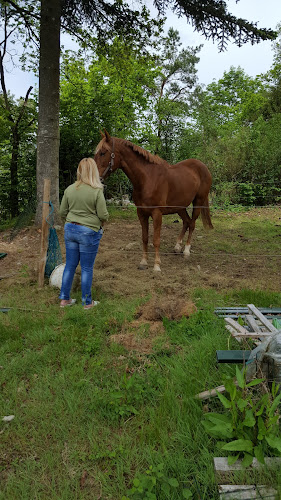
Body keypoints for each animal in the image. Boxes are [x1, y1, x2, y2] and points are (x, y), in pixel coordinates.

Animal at [94, 129, 212, 270]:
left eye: (103, 152)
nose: (95, 178)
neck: (147, 178)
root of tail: (203, 167)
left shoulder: (157, 213)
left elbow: (156, 240)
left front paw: (156, 265)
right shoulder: (141, 213)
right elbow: (145, 238)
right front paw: (143, 262)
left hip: (198, 202)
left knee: (192, 223)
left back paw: (186, 251)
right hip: (180, 207)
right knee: (186, 222)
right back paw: (177, 247)